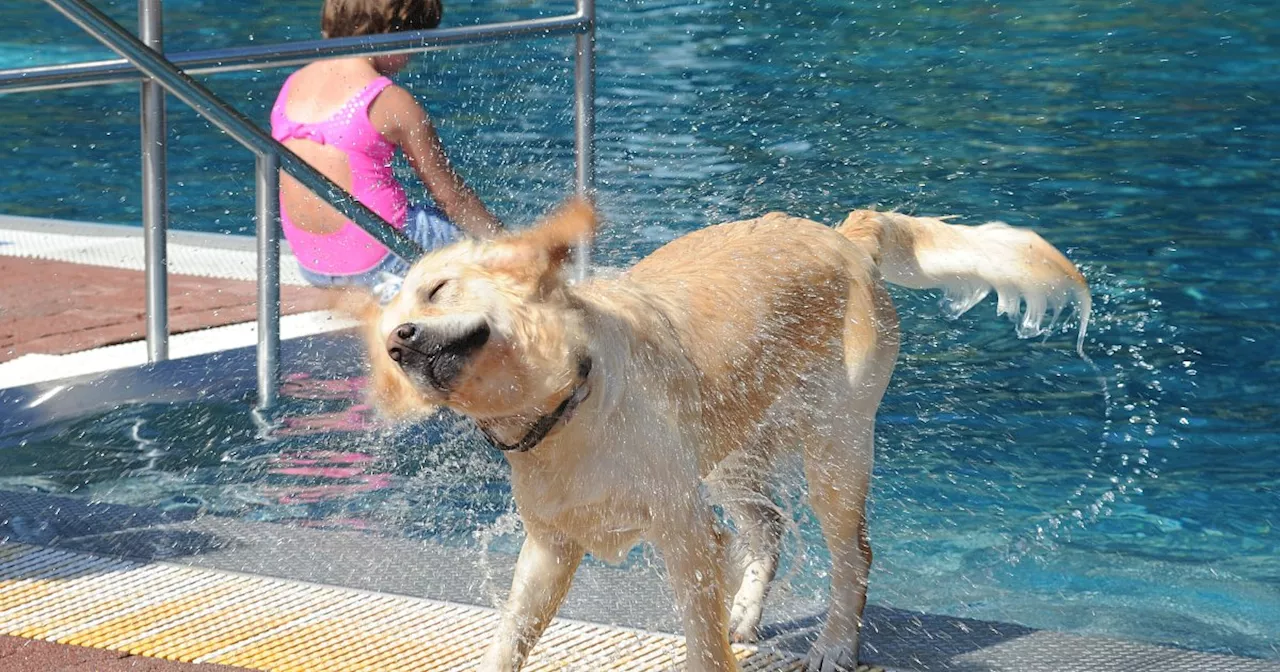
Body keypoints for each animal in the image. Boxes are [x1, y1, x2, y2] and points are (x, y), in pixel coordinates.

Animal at [360, 200, 1090, 670]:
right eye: (388, 319)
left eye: (439, 289)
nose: (398, 343)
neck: (570, 395)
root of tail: (843, 234)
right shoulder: (550, 547)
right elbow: (511, 635)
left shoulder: (684, 530)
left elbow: (702, 641)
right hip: (730, 451)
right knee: (767, 524)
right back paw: (744, 613)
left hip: (835, 444)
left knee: (853, 553)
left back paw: (833, 648)